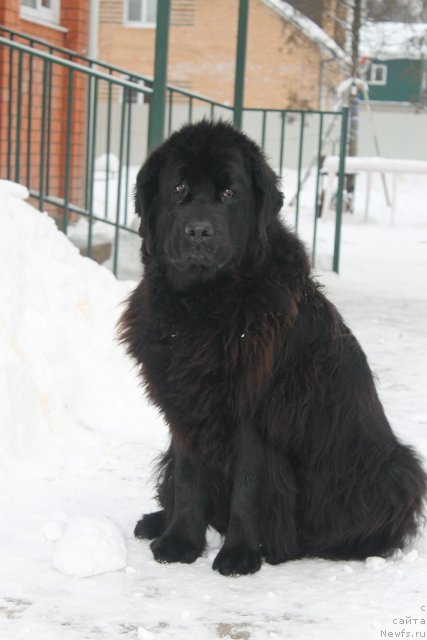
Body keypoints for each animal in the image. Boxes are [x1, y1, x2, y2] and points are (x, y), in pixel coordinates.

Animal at [119, 119, 424, 576]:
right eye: (178, 189)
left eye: (230, 193)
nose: (198, 231)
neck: (204, 307)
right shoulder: (185, 404)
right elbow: (187, 476)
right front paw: (179, 542)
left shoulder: (255, 410)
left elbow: (248, 486)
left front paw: (240, 554)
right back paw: (155, 521)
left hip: (391, 470)